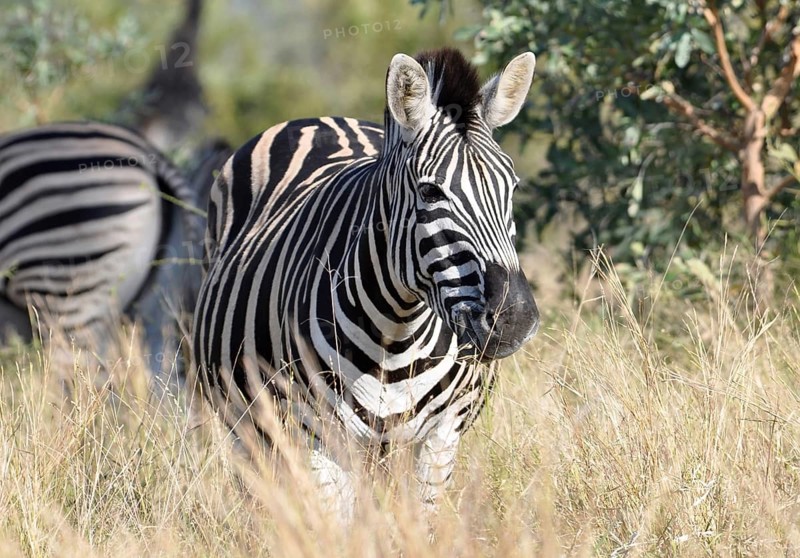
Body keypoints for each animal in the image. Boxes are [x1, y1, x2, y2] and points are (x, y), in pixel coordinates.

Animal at [193, 48, 539, 515]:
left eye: (513, 189)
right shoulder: (317, 435)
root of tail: (324, 118)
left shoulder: (441, 436)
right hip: (248, 426)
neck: (397, 331)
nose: (515, 318)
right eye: (430, 193)